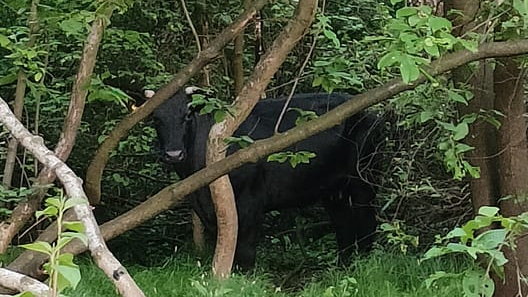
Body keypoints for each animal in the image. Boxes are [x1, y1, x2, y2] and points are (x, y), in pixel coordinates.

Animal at [151, 89, 382, 268]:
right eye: (156, 119)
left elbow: (245, 247)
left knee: (367, 221)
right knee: (344, 226)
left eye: (187, 116)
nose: (173, 154)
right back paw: (343, 266)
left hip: (363, 181)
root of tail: (366, 112)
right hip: (333, 191)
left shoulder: (250, 201)